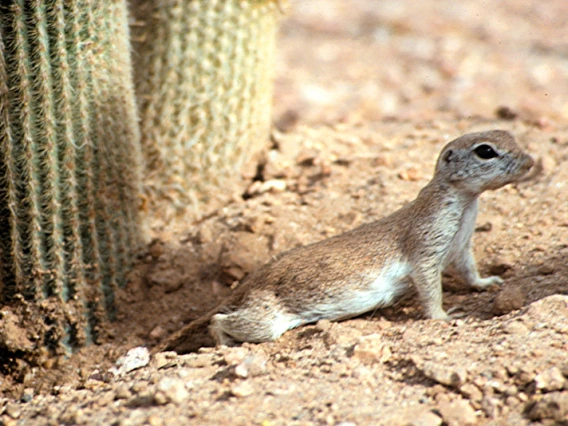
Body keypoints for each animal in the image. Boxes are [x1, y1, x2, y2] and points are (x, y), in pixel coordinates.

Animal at [158, 129, 536, 352]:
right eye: (485, 151)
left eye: (512, 137)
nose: (531, 161)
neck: (464, 204)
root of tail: (251, 281)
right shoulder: (427, 241)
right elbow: (428, 285)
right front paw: (444, 316)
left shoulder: (461, 244)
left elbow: (468, 269)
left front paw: (487, 282)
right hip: (266, 320)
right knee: (221, 321)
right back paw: (223, 344)